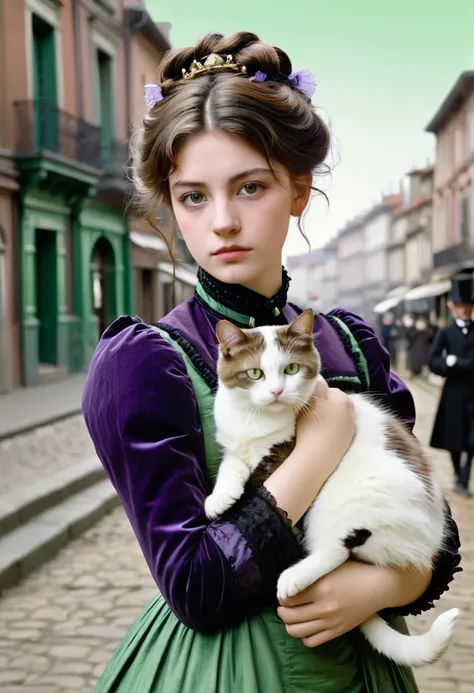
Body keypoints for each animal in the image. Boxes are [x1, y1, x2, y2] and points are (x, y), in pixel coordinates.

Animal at [205, 308, 460, 664]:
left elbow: (259, 471)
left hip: (347, 496)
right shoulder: (237, 443)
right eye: (254, 373)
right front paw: (219, 497)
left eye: (292, 369)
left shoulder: (284, 453)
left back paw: (294, 577)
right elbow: (231, 462)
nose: (277, 392)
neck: (258, 423)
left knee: (337, 548)